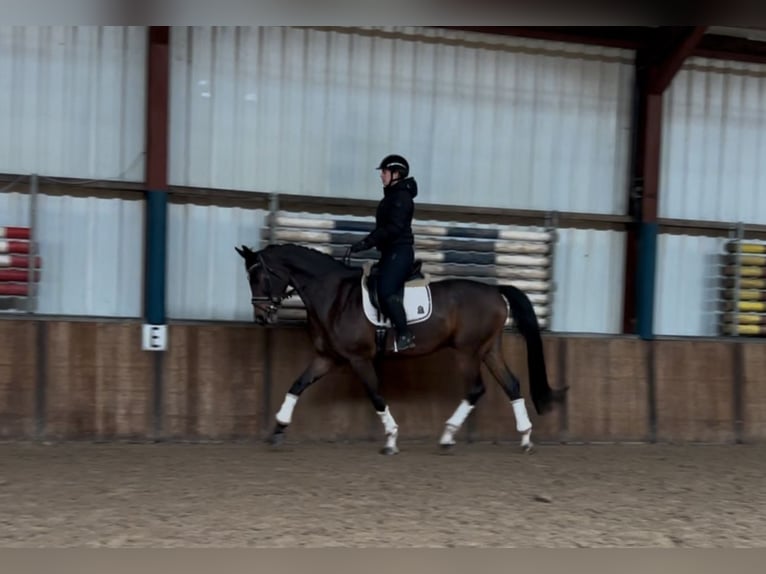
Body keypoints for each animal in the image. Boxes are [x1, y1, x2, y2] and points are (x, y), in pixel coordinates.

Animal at [237, 241, 568, 456]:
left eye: (259, 276)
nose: (261, 317)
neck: (334, 296)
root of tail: (495, 291)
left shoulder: (358, 358)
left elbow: (375, 395)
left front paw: (391, 440)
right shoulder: (327, 358)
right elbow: (297, 385)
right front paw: (279, 429)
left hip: (467, 352)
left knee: (477, 389)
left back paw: (447, 436)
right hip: (488, 350)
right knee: (511, 385)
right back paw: (524, 438)